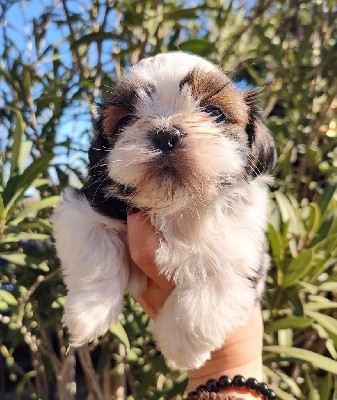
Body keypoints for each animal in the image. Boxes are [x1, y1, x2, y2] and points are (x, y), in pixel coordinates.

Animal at [53, 51, 276, 370]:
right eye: (127, 119)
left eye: (214, 112)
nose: (165, 134)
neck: (177, 203)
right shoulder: (83, 209)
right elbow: (95, 252)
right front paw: (89, 312)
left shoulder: (244, 250)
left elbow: (210, 290)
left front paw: (181, 348)